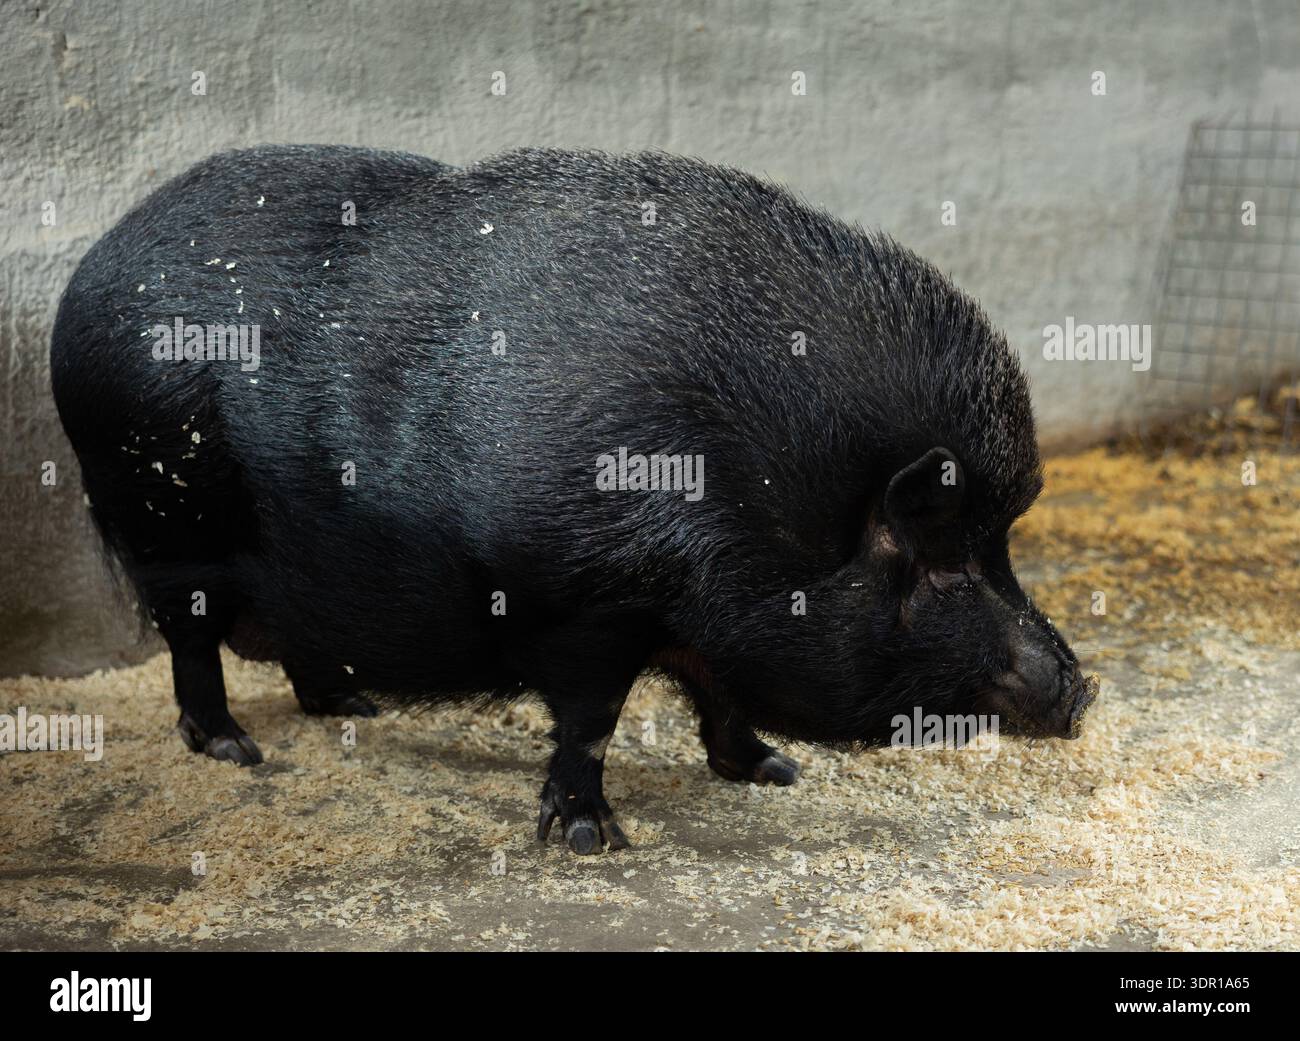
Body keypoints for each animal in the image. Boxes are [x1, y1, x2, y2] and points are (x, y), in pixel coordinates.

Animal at [50, 145, 1095, 855]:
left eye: (998, 547)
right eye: (946, 561)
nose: (1082, 689)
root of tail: (92, 267)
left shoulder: (691, 614)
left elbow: (715, 690)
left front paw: (773, 770)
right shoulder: (589, 604)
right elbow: (593, 717)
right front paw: (593, 838)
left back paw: (355, 705)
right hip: (164, 529)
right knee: (191, 644)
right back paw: (235, 751)